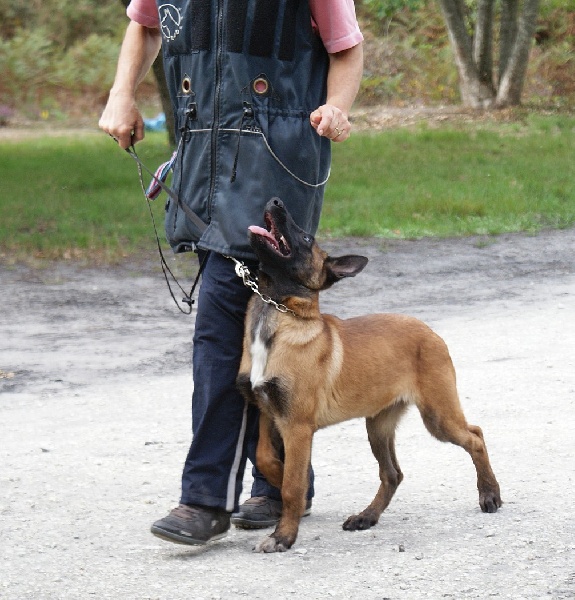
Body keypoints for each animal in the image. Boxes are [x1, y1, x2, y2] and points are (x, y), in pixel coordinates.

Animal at [236, 198, 502, 552]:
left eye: (306, 238)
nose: (276, 200)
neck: (278, 312)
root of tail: (429, 330)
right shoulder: (269, 413)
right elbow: (266, 458)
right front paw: (282, 484)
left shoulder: (297, 425)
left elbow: (293, 484)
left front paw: (283, 535)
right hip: (378, 424)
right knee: (392, 474)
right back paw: (366, 516)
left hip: (438, 416)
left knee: (475, 436)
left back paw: (489, 494)